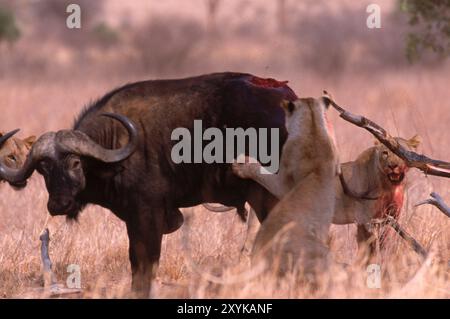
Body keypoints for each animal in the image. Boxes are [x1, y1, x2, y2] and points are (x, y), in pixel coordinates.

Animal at [0, 72, 298, 298]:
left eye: (75, 163)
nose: (58, 205)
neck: (115, 150)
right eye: (43, 169)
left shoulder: (146, 216)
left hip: (269, 195)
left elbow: (143, 263)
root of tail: (287, 99)